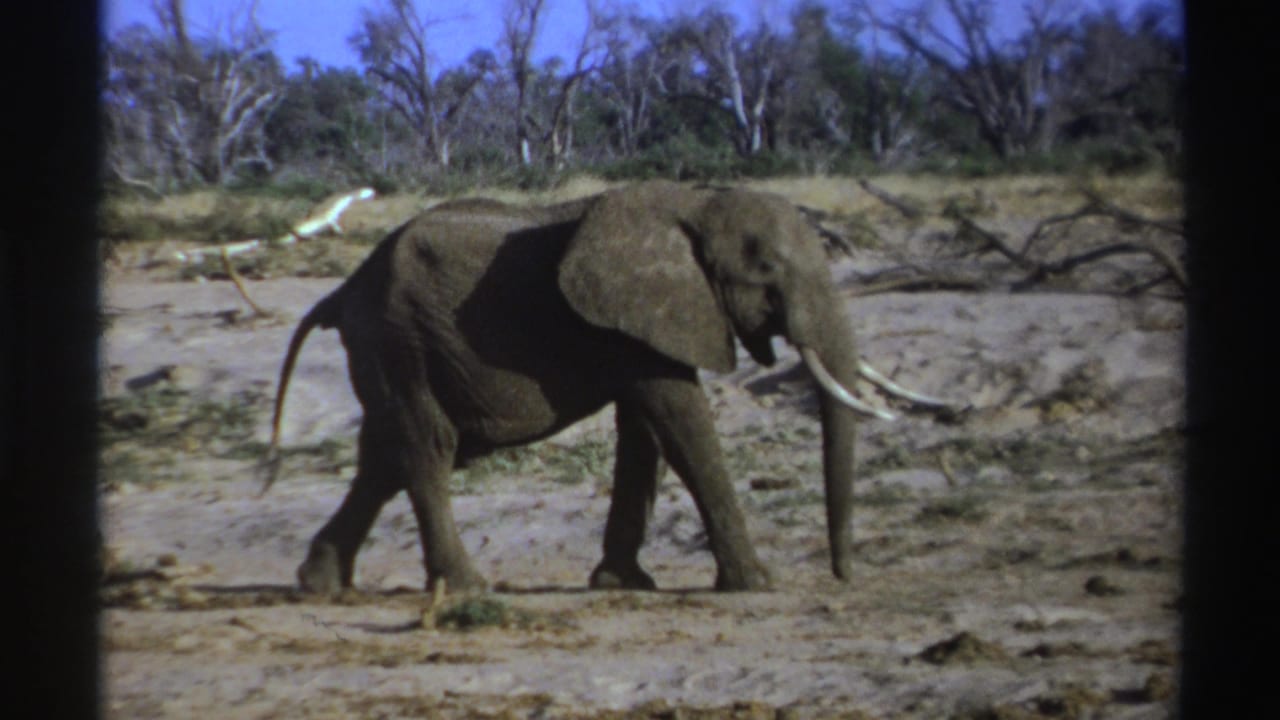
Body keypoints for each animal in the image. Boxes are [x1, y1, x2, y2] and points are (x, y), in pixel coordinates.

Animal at [264, 180, 931, 594]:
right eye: (767, 272)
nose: (844, 577)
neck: (697, 203)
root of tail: (343, 288)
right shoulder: (641, 315)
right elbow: (680, 417)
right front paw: (757, 586)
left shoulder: (637, 324)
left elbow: (645, 428)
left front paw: (624, 585)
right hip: (399, 337)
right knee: (427, 449)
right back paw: (468, 589)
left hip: (390, 347)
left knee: (384, 456)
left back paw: (318, 585)